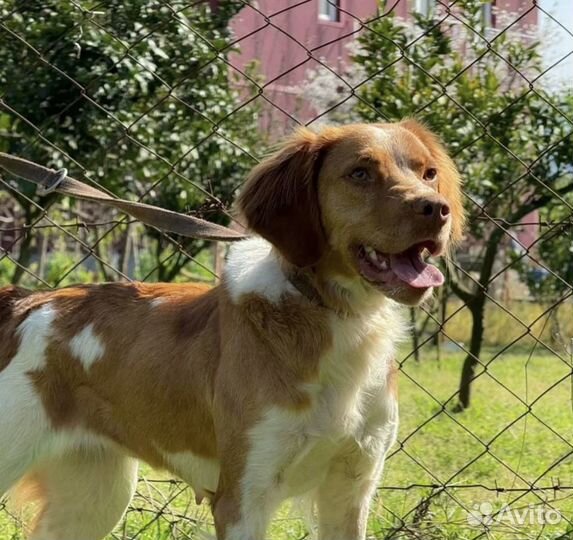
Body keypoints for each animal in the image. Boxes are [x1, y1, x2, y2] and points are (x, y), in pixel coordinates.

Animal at [0, 121, 462, 540]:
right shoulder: (243, 499)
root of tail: (27, 302)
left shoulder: (350, 491)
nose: (437, 209)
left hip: (95, 496)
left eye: (427, 173)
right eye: (360, 173)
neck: (339, 319)